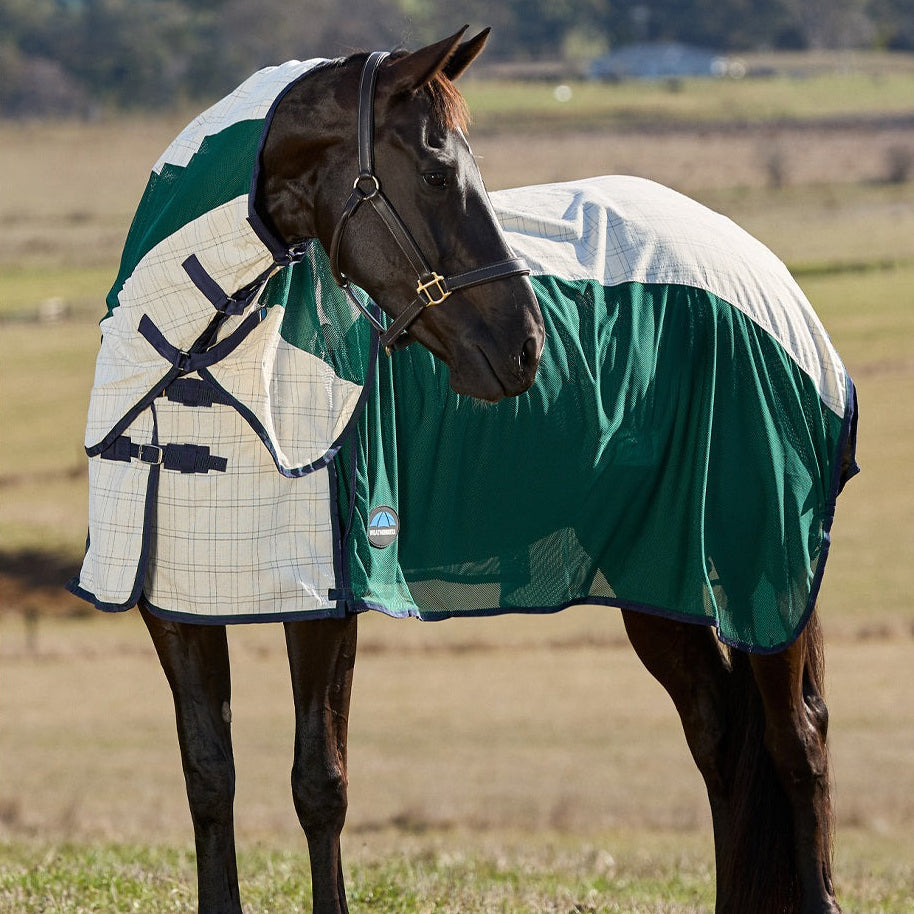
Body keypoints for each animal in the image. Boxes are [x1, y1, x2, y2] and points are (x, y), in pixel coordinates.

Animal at [69, 27, 857, 914]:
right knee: (719, 737)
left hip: (761, 567)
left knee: (798, 740)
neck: (195, 373)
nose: (527, 348)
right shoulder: (178, 610)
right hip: (663, 582)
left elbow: (319, 783)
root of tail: (764, 271)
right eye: (438, 174)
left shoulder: (325, 605)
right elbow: (209, 776)